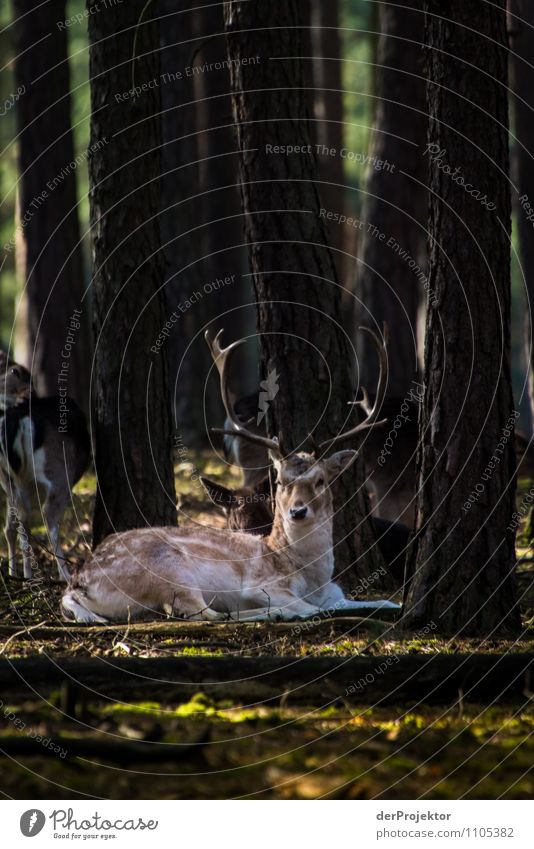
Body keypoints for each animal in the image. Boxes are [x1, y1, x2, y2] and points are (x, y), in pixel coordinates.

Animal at [0, 352, 91, 584]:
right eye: (15, 372)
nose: (29, 392)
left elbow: (12, 526)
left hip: (11, 480)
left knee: (17, 522)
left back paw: (23, 576)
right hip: (58, 471)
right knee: (47, 516)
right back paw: (64, 575)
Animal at [59, 324, 402, 624]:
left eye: (320, 480)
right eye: (281, 481)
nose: (297, 512)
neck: (307, 577)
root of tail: (78, 583)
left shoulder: (335, 593)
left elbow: (386, 601)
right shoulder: (265, 585)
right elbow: (308, 607)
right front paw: (285, 609)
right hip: (169, 571)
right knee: (201, 613)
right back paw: (271, 613)